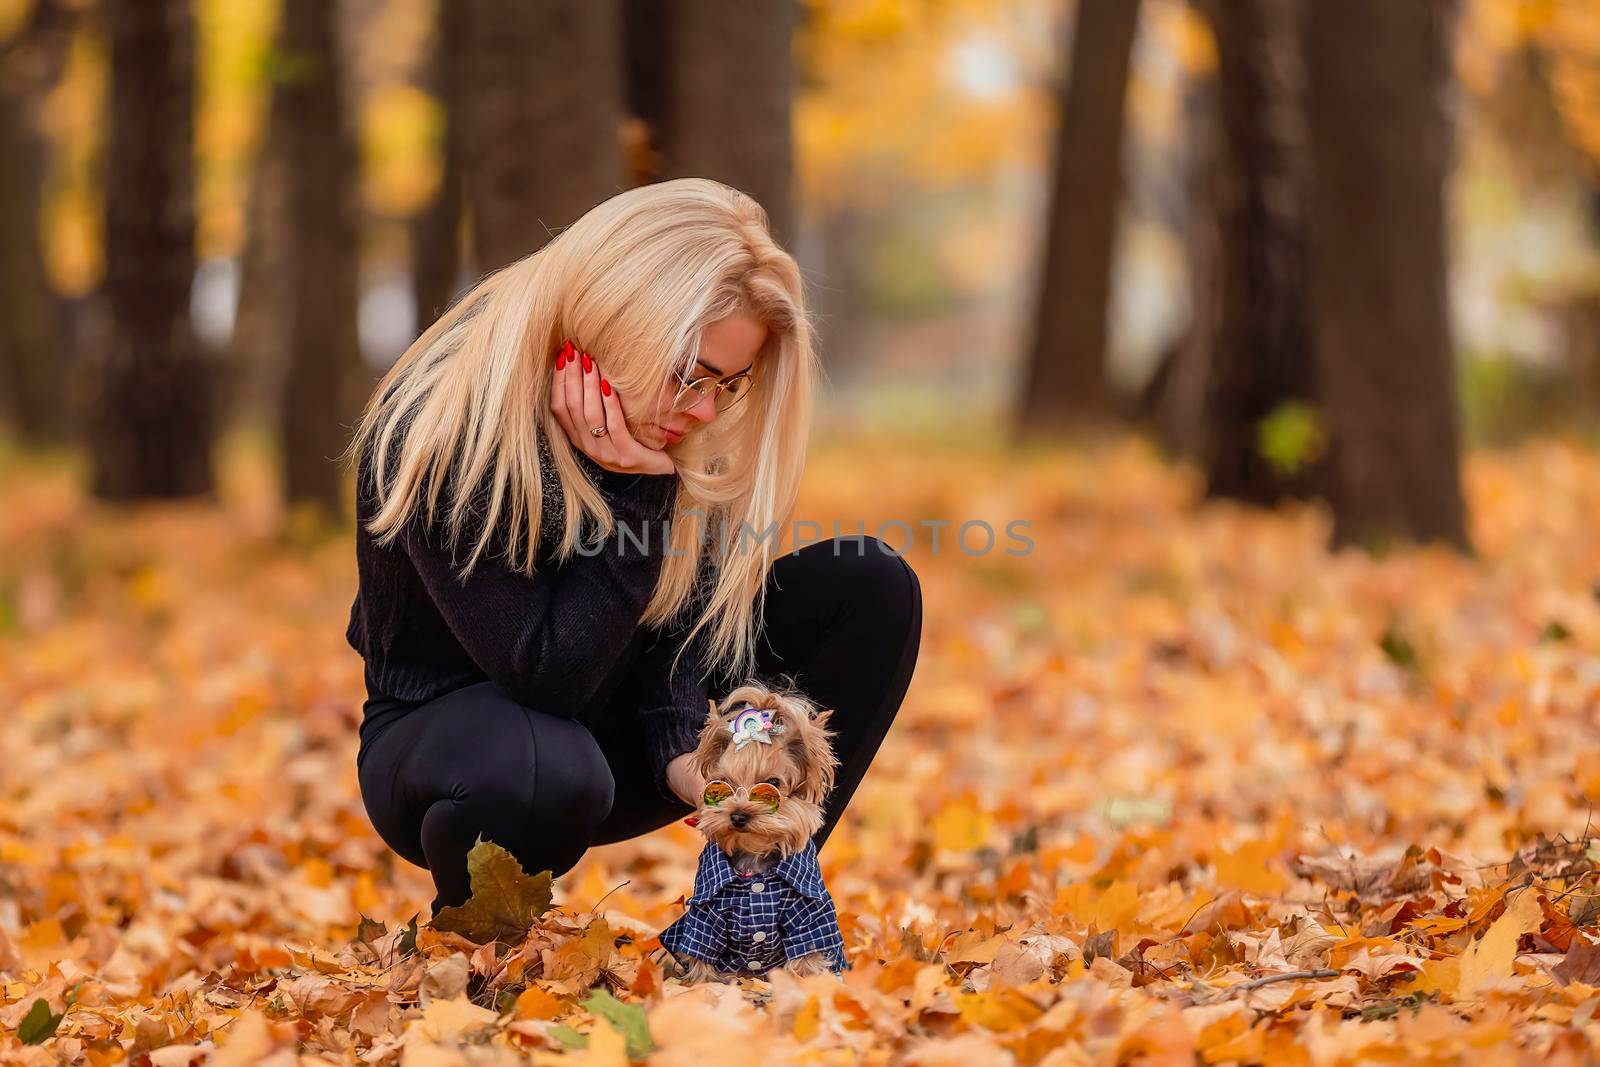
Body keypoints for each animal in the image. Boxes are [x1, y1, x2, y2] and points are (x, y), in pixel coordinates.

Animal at [652, 684, 851, 985]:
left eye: (772, 784)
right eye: (721, 786)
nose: (738, 815)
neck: (754, 860)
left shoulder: (808, 911)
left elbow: (808, 951)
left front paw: (808, 984)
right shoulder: (705, 916)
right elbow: (702, 954)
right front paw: (703, 987)